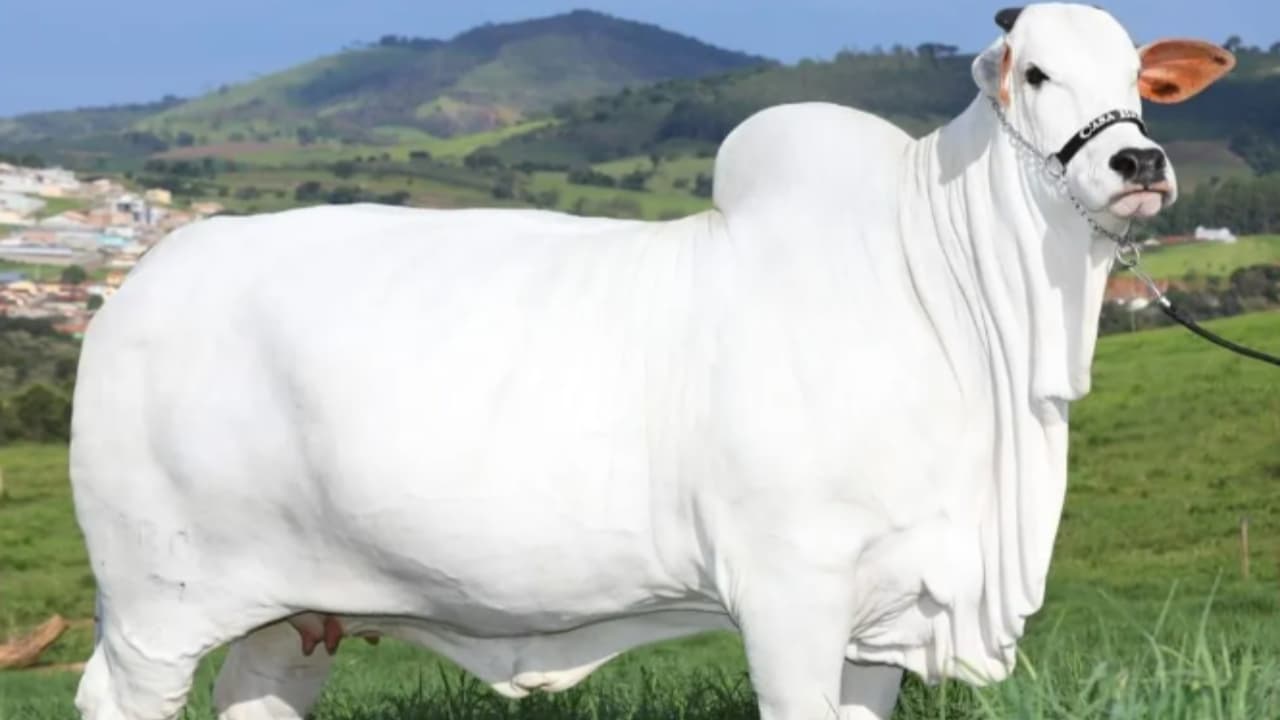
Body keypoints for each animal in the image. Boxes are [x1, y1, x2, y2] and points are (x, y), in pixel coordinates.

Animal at [69, 4, 1233, 719]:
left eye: (1138, 78)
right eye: (1034, 71)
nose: (1139, 163)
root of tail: (142, 284)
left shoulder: (885, 617)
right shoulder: (789, 593)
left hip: (292, 614)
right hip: (156, 606)